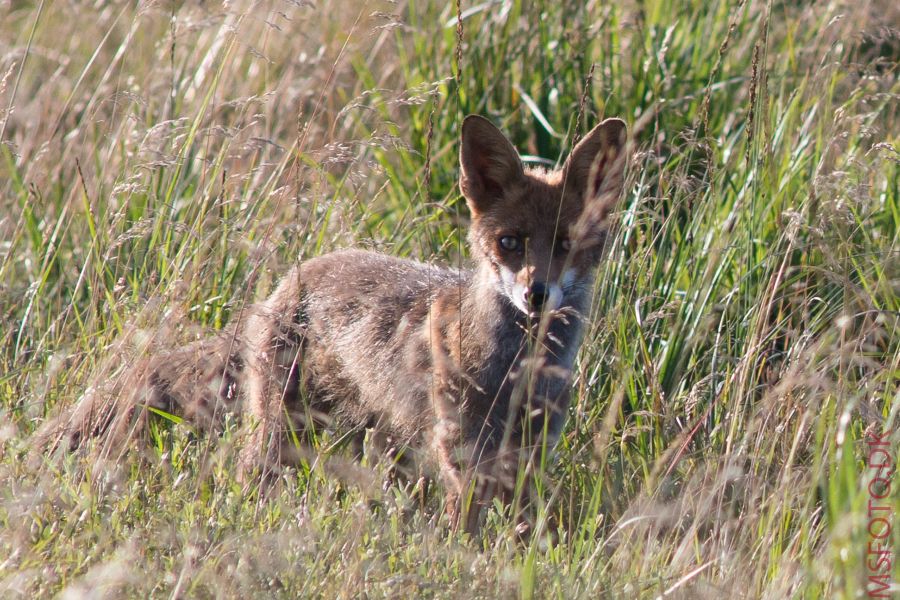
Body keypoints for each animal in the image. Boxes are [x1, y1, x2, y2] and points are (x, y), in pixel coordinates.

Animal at [40, 115, 624, 532]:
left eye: (567, 244)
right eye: (510, 243)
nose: (536, 294)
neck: (517, 370)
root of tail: (288, 280)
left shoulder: (529, 455)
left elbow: (523, 529)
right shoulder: (462, 455)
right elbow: (470, 532)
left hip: (370, 437)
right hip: (280, 435)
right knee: (248, 478)